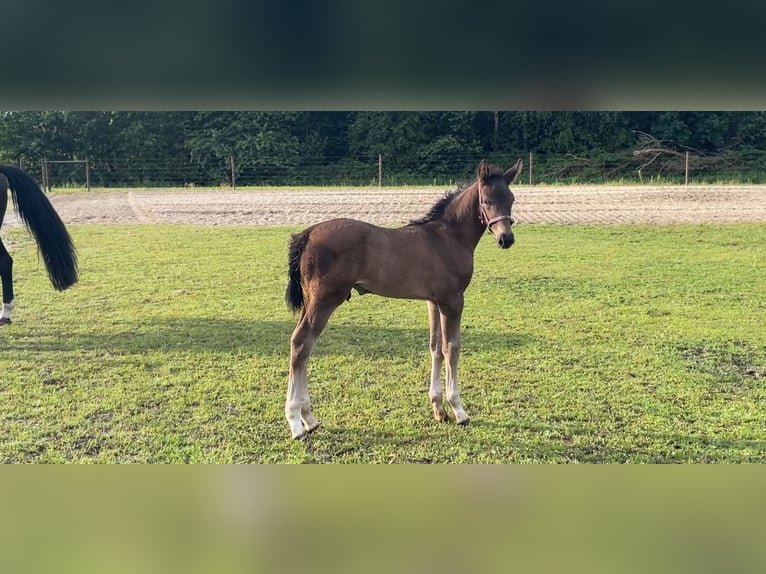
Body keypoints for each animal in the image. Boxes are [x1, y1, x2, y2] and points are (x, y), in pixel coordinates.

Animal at [284, 160, 524, 438]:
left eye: (511, 198)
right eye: (486, 201)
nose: (506, 239)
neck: (447, 237)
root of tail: (308, 233)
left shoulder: (434, 301)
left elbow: (435, 346)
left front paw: (438, 409)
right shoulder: (452, 300)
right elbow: (451, 348)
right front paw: (458, 410)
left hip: (312, 301)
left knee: (305, 346)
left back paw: (309, 418)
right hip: (324, 301)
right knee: (301, 344)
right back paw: (296, 422)